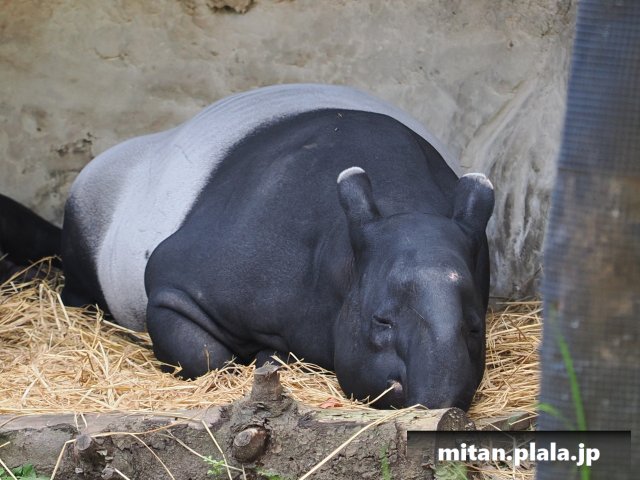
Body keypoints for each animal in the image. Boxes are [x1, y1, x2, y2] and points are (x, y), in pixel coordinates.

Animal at [4, 84, 494, 410]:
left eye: (475, 326)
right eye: (381, 320)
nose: (437, 401)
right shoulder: (191, 278)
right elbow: (204, 354)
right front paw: (261, 358)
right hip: (89, 223)